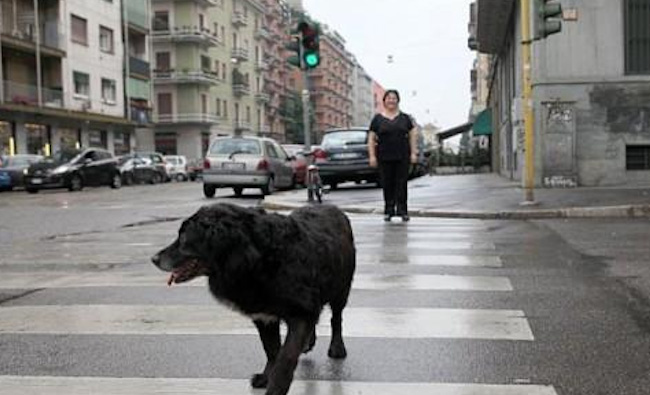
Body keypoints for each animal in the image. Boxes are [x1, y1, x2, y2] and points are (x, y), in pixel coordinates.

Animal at [152, 204, 354, 395]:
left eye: (184, 238)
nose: (154, 259)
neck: (256, 258)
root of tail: (334, 208)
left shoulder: (300, 312)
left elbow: (286, 355)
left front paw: (276, 387)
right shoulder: (264, 316)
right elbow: (271, 350)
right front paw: (266, 377)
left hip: (341, 288)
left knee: (336, 318)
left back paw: (337, 348)